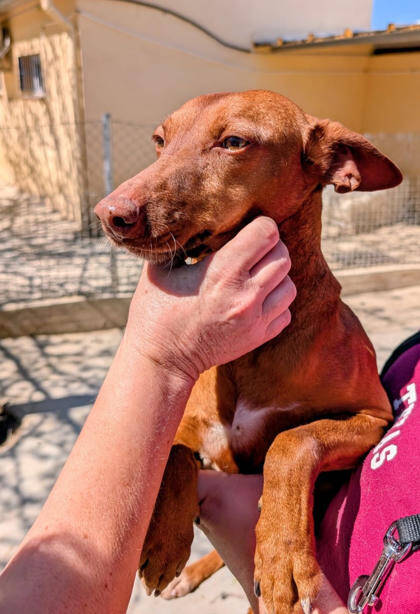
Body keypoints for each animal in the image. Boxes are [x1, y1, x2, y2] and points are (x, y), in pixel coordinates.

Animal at [95, 90, 401, 613]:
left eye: (234, 142)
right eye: (159, 140)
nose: (110, 214)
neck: (250, 350)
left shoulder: (374, 417)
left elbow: (292, 441)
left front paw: (282, 558)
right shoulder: (197, 435)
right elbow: (173, 451)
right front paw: (165, 540)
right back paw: (190, 571)